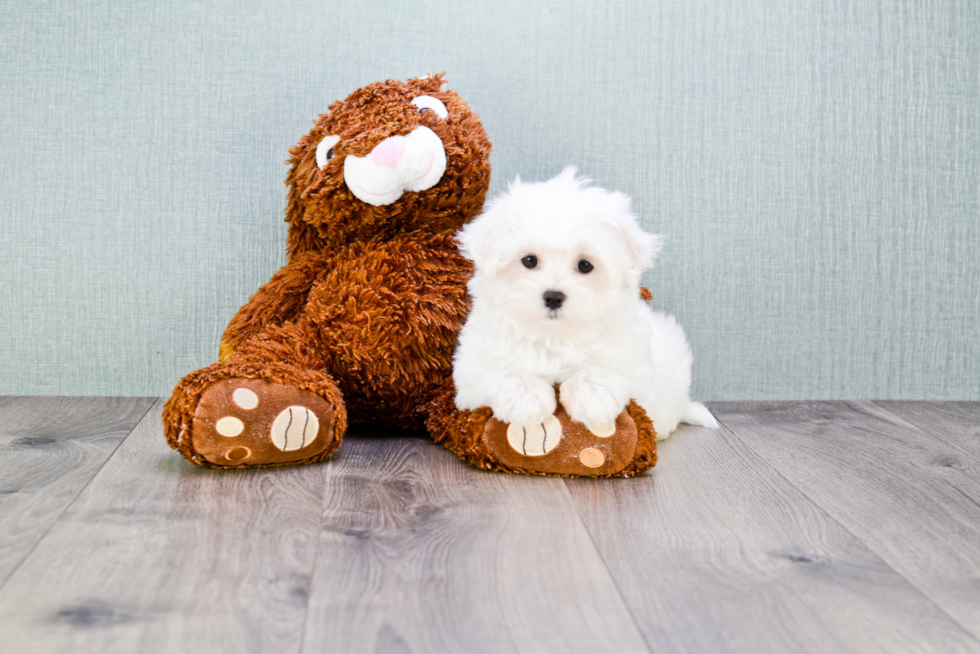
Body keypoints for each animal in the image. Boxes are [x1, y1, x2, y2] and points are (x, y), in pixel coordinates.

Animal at [454, 168, 720, 440]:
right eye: (529, 260)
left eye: (584, 265)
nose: (553, 296)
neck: (554, 337)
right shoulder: (470, 369)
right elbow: (501, 367)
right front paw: (527, 400)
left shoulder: (634, 358)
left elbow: (607, 365)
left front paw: (592, 398)